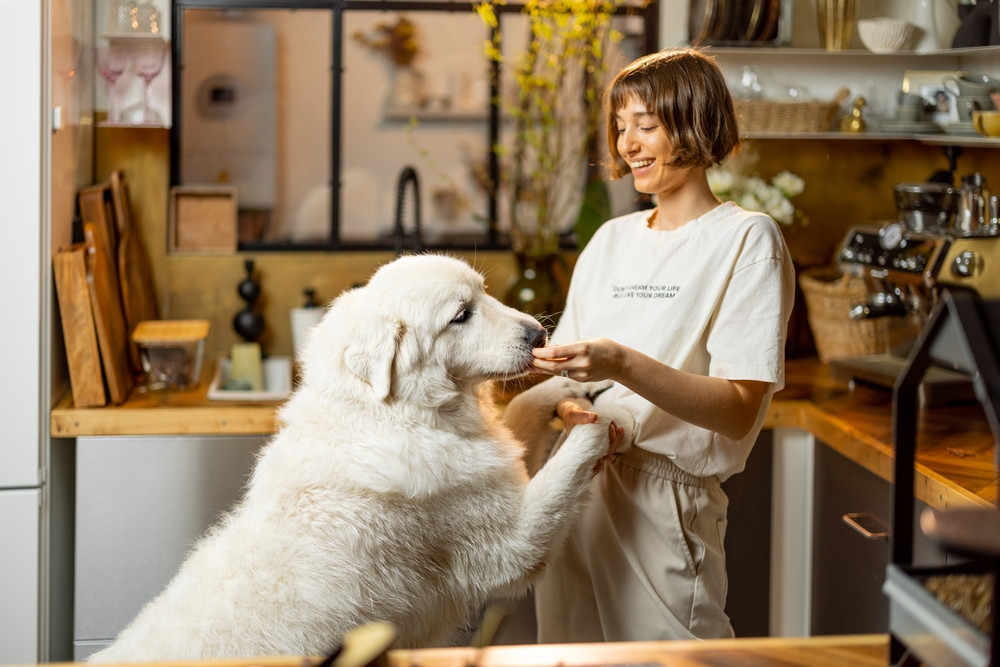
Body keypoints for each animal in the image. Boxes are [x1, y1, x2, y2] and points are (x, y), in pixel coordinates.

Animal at [90, 256, 628, 664]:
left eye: (485, 294)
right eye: (461, 315)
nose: (539, 334)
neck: (391, 415)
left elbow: (520, 415)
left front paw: (565, 388)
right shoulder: (512, 543)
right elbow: (563, 471)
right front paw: (601, 422)